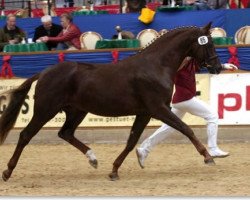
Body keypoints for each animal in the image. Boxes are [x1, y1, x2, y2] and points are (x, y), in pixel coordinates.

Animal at [0, 22, 223, 181]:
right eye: (209, 44)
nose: (218, 67)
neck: (156, 65)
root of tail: (44, 72)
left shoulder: (144, 112)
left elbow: (132, 141)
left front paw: (114, 170)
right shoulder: (158, 109)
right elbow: (186, 129)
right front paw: (208, 157)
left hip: (76, 111)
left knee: (65, 133)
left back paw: (93, 158)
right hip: (46, 110)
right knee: (26, 135)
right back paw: (8, 172)